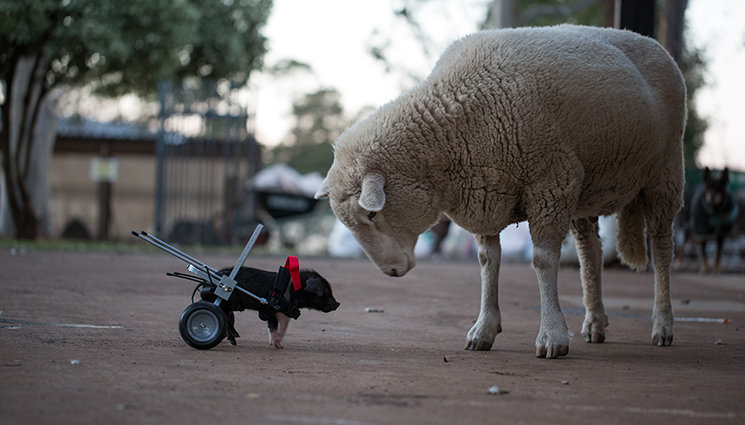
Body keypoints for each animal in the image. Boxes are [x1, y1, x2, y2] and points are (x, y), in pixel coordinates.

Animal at [198, 264, 338, 348]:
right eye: (326, 292)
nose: (338, 304)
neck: (292, 290)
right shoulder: (278, 312)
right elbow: (280, 328)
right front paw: (278, 345)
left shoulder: (274, 314)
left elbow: (274, 327)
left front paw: (276, 345)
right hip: (226, 302)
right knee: (224, 318)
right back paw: (235, 339)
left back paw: (233, 339)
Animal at [316, 24, 684, 358]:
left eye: (371, 213)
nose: (391, 272)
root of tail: (649, 40)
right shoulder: (485, 194)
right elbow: (487, 261)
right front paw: (484, 330)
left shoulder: (551, 181)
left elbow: (542, 260)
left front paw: (552, 336)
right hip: (587, 186)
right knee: (590, 253)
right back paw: (595, 322)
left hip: (664, 173)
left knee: (662, 248)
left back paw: (663, 325)